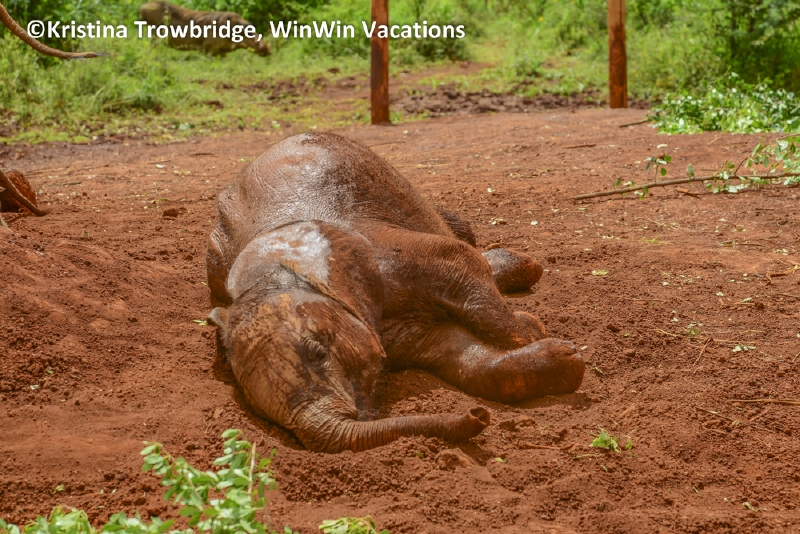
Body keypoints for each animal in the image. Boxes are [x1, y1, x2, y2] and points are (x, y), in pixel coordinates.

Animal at [138, 1, 270, 56]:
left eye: (251, 27)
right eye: (247, 31)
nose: (268, 51)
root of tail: (143, 6)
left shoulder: (222, 52)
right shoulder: (207, 49)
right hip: (156, 35)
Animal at [206, 132, 585, 453]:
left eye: (318, 353)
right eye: (257, 410)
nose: (478, 416)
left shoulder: (389, 253)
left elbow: (461, 263)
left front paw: (535, 330)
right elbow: (458, 354)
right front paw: (566, 359)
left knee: (464, 236)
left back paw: (526, 268)